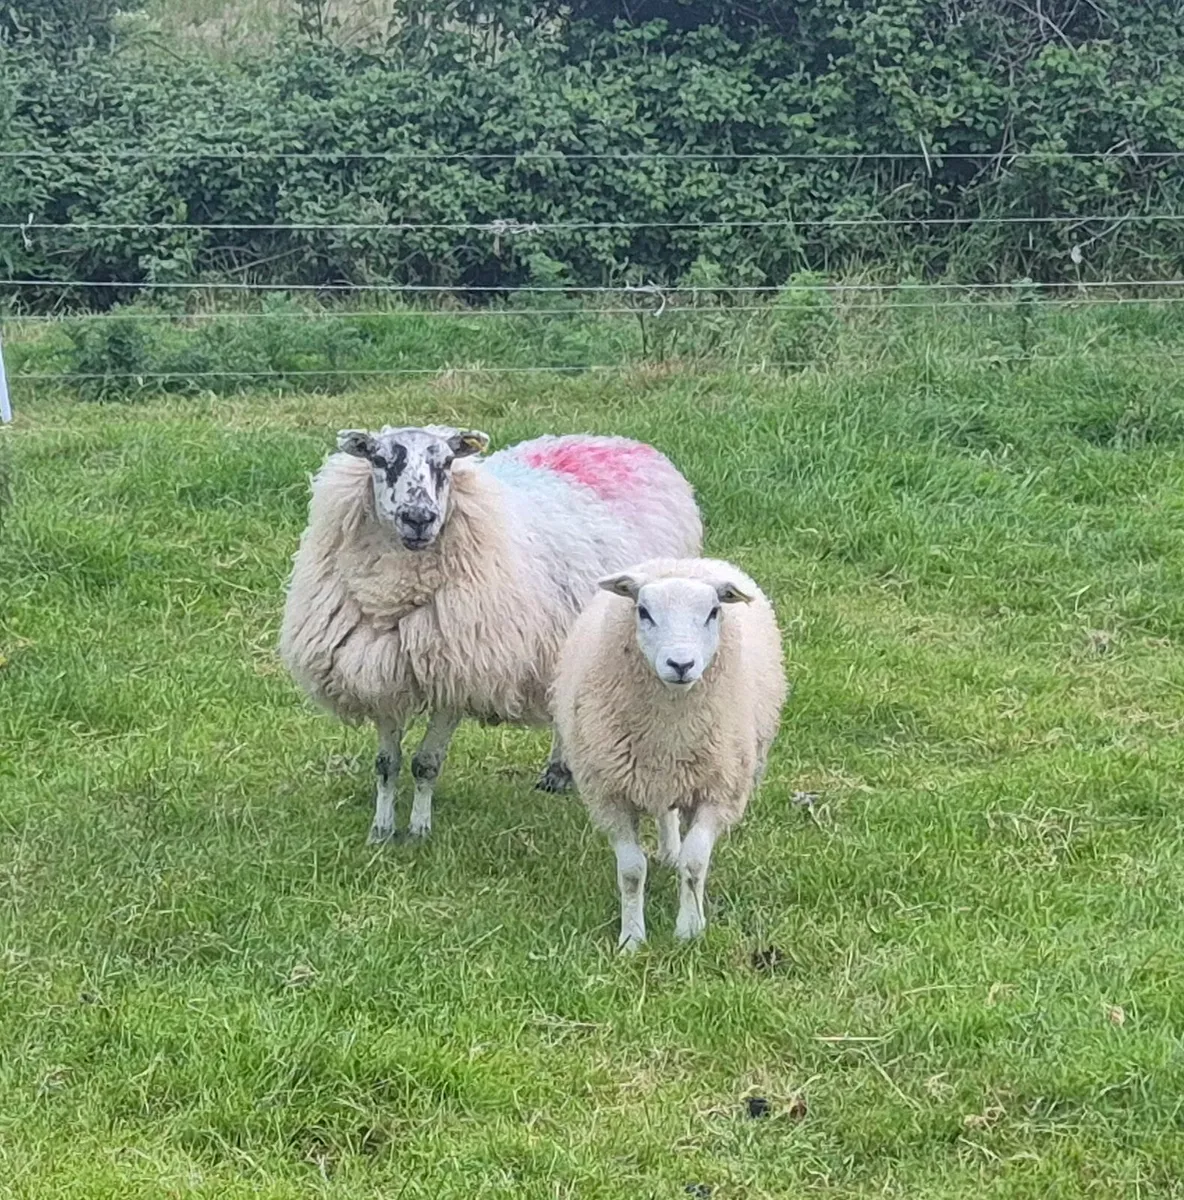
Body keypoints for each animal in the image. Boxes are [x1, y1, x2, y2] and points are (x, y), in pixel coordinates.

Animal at [279, 425, 702, 843]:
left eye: (446, 463)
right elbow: (387, 763)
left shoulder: (457, 677)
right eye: (380, 460)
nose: (419, 517)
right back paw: (558, 773)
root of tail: (616, 441)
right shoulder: (378, 671)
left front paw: (418, 832)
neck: (391, 595)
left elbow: (425, 763)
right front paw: (381, 832)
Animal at [551, 557, 787, 950]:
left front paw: (689, 930)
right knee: (665, 812)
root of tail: (681, 561)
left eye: (713, 612)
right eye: (643, 612)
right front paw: (632, 938)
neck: (669, 734)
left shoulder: (717, 792)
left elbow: (695, 864)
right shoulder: (611, 795)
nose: (681, 665)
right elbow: (631, 871)